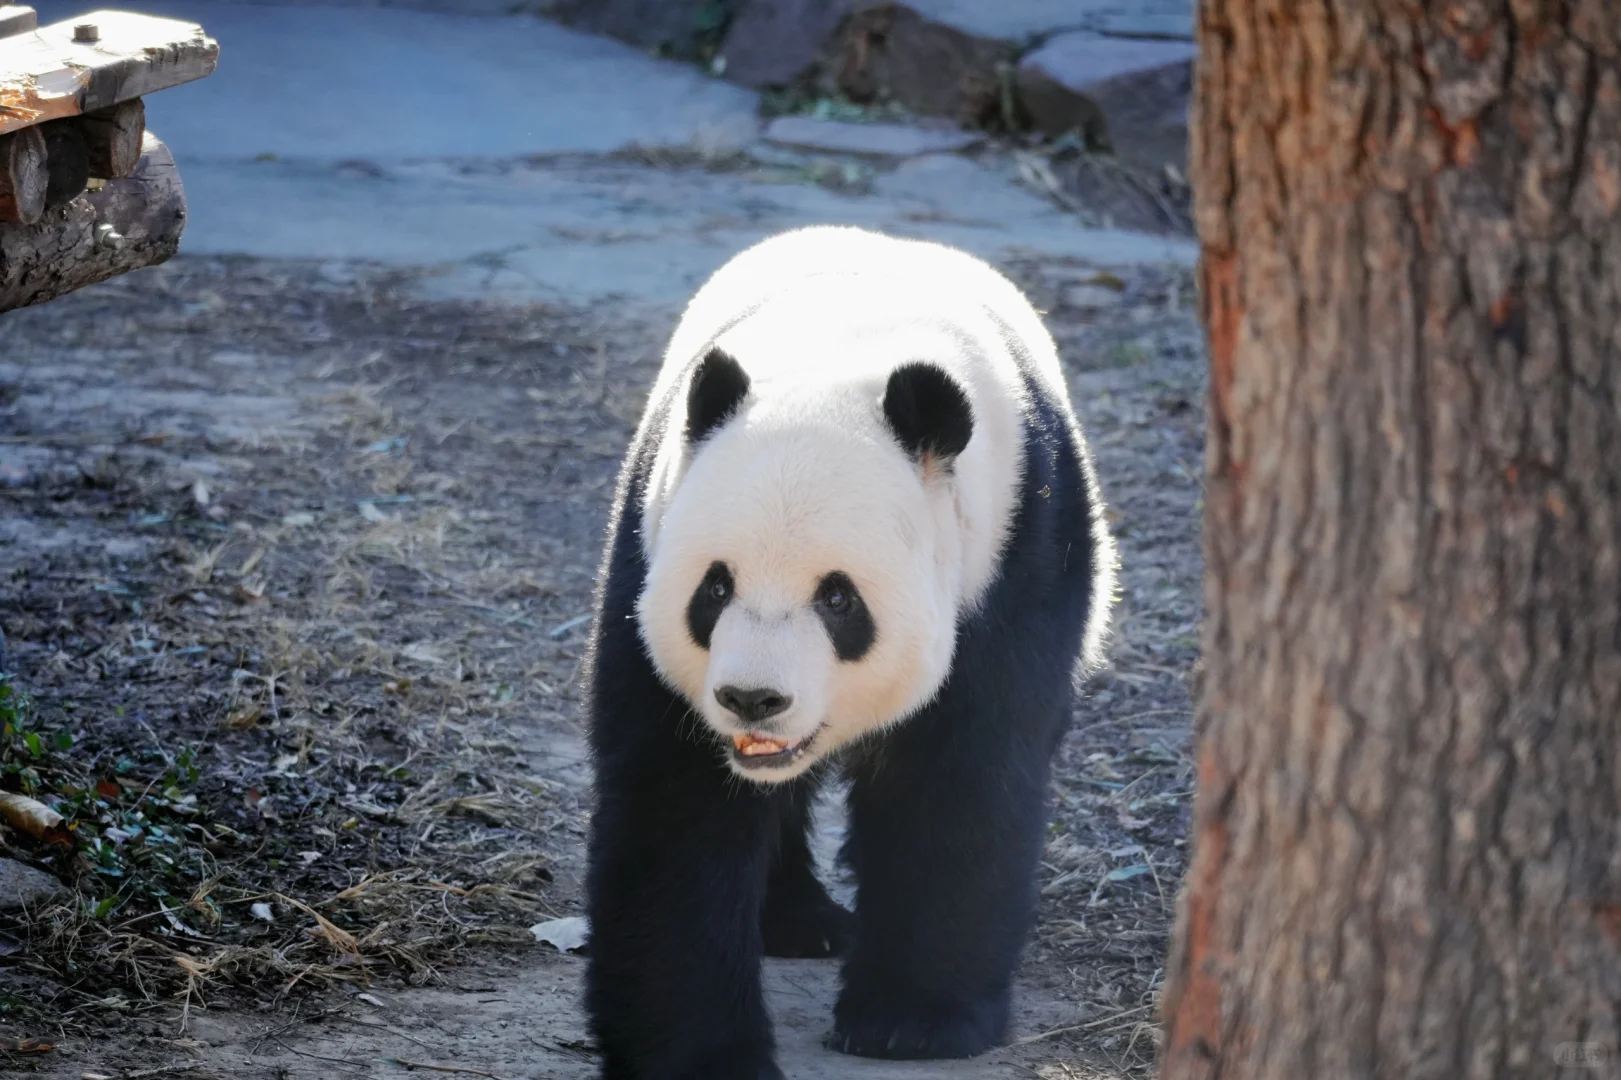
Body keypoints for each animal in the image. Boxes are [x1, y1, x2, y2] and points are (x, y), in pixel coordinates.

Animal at [583, 222, 1115, 1070]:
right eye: (713, 589)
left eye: (837, 598)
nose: (753, 699)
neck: (840, 358)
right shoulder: (648, 531)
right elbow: (675, 799)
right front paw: (700, 1050)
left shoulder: (1017, 557)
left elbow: (960, 777)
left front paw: (913, 1021)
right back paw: (799, 922)